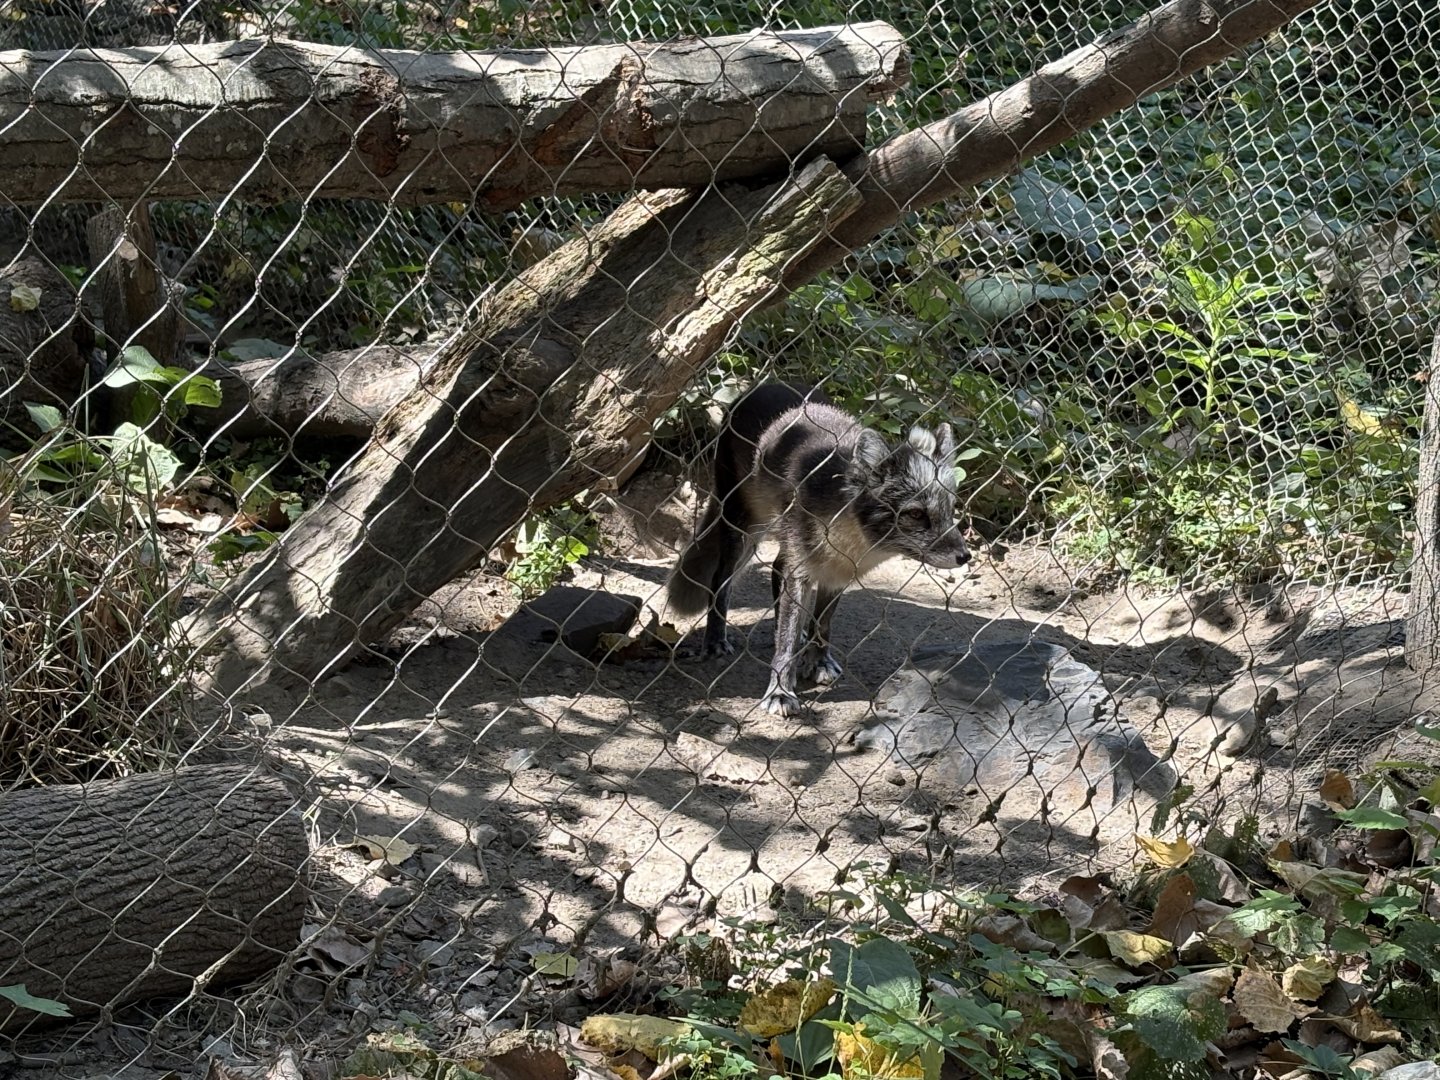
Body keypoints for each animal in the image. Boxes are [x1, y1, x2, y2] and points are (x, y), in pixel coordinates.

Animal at [667, 382, 970, 716]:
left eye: (951, 509)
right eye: (916, 514)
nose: (965, 556)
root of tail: (764, 385)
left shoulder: (836, 573)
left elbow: (822, 626)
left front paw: (818, 661)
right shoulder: (802, 568)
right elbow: (785, 643)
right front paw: (780, 691)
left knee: (776, 570)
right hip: (742, 525)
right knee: (722, 578)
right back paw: (715, 640)